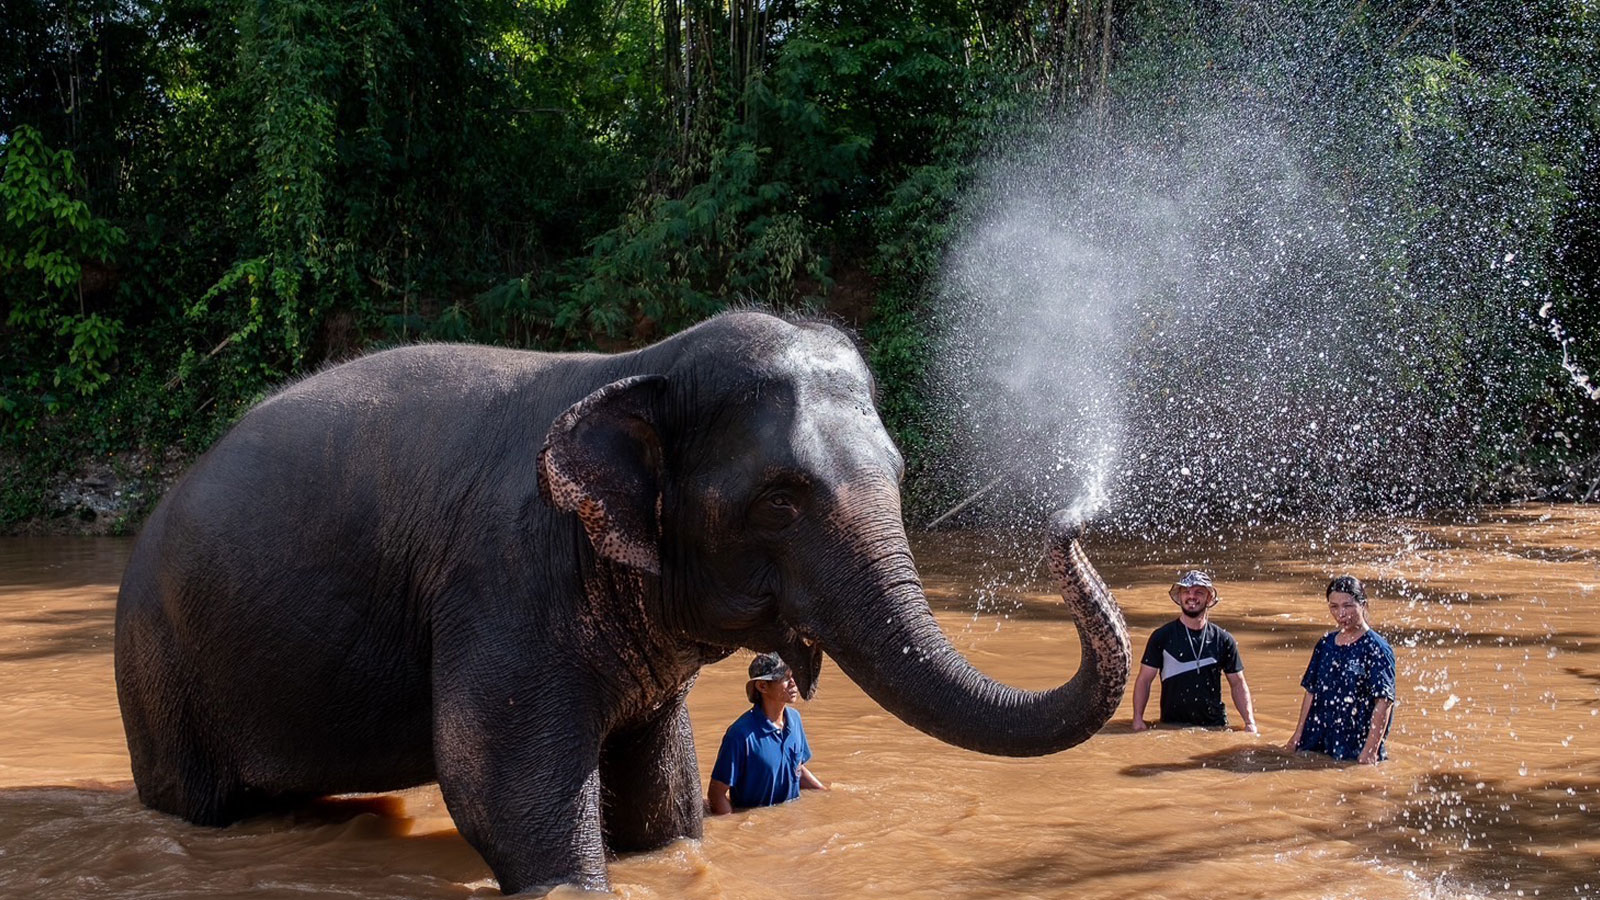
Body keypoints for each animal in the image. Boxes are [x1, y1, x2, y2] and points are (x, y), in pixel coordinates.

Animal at [114, 310, 1132, 895]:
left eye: (900, 472)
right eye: (780, 502)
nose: (1069, 520)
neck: (637, 363)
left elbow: (662, 792)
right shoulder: (505, 577)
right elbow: (499, 790)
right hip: (157, 670)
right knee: (197, 804)